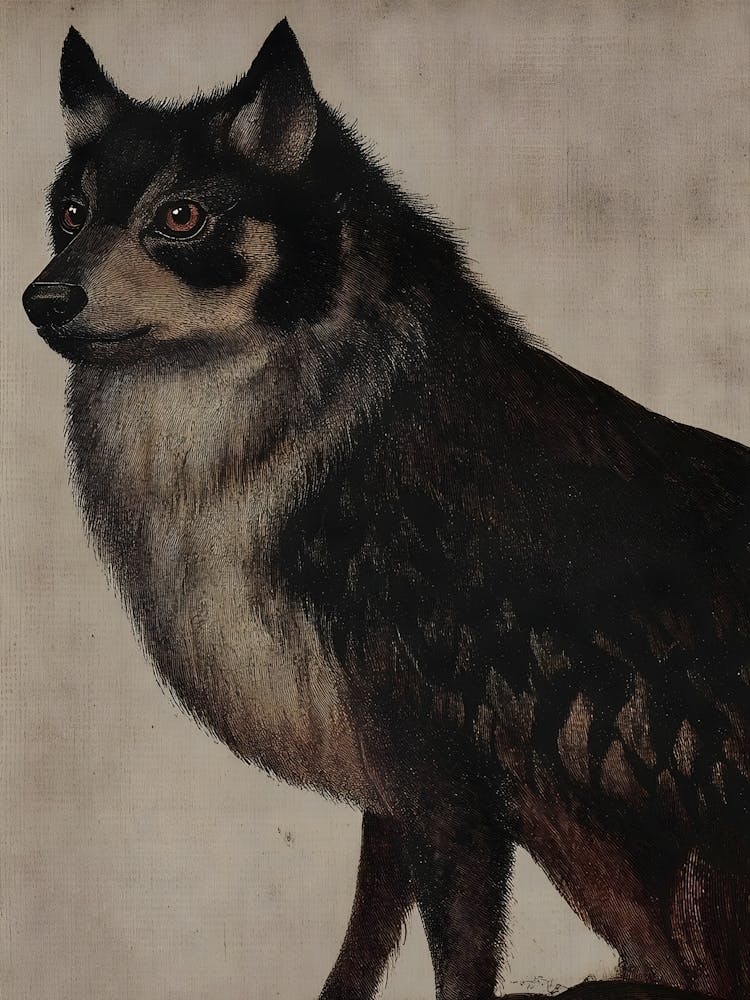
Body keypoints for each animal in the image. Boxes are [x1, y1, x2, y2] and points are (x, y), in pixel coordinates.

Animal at [22, 20, 749, 1000]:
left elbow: (460, 960)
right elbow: (363, 946)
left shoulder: (451, 791)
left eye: (180, 217)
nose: (41, 299)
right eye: (71, 214)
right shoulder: (393, 791)